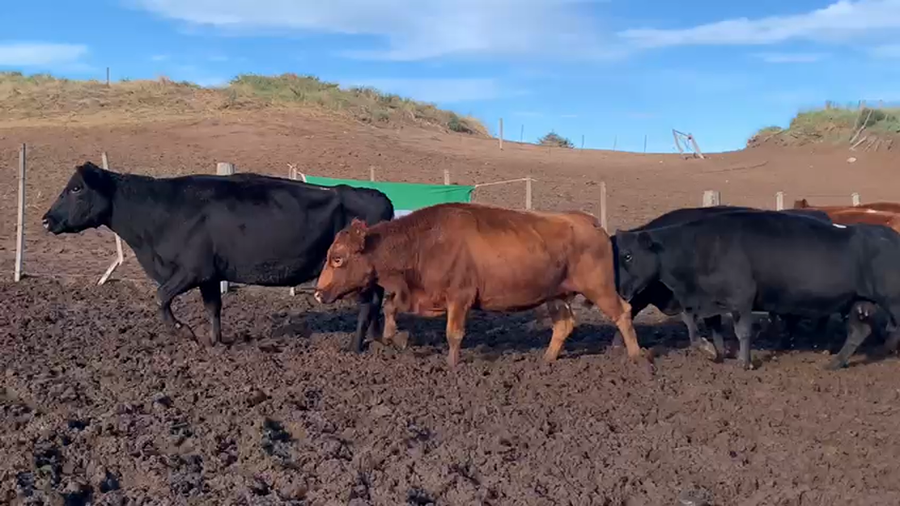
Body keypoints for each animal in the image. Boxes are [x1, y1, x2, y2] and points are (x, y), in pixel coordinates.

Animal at [41, 161, 395, 352]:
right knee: (377, 303)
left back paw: (354, 345)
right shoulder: (210, 275)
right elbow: (213, 308)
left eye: (76, 188)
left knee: (368, 305)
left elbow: (160, 297)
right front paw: (215, 342)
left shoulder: (191, 270)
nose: (46, 219)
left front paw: (184, 331)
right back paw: (378, 338)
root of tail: (378, 196)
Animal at [312, 202, 651, 370]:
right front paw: (395, 337)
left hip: (599, 287)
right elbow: (391, 308)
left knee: (623, 312)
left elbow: (454, 334)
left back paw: (636, 357)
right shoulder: (424, 295)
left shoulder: (459, 297)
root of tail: (591, 223)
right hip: (556, 294)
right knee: (564, 324)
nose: (318, 293)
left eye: (338, 258)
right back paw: (547, 359)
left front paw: (452, 364)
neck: (426, 241)